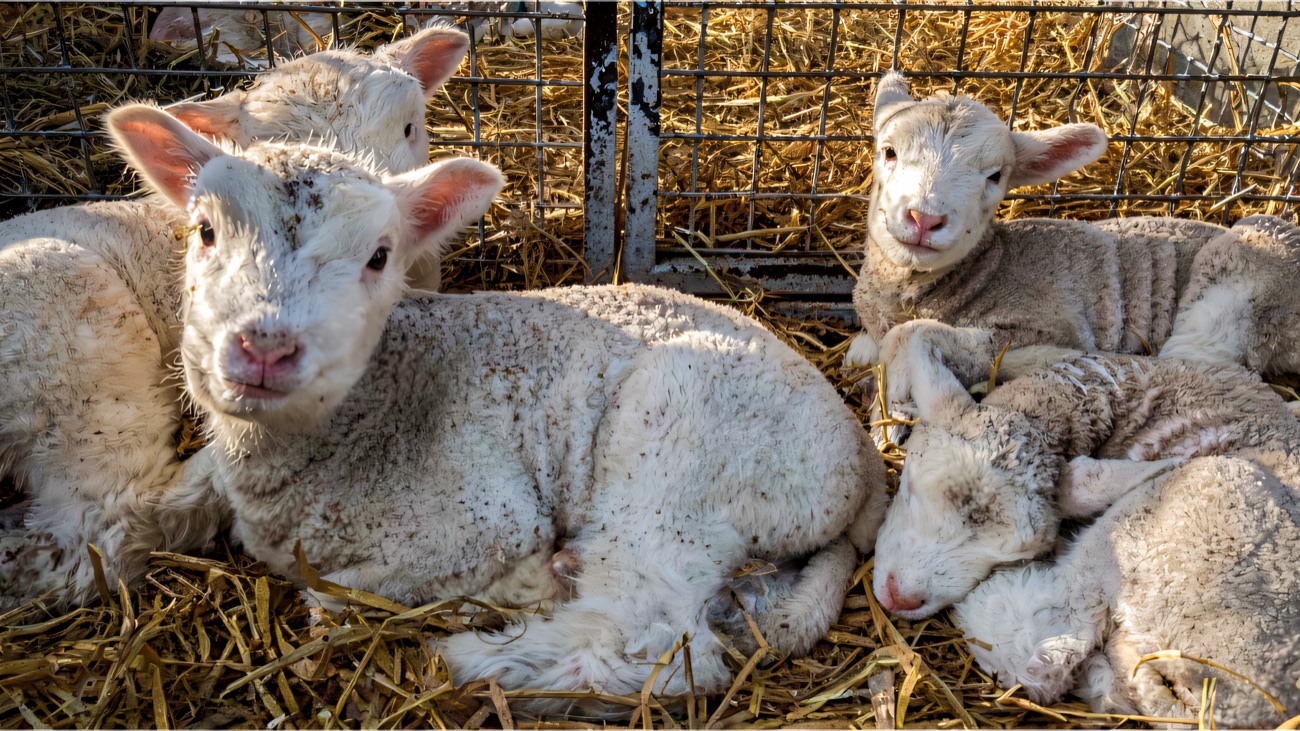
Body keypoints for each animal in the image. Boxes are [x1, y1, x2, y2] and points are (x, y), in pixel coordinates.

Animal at [105, 103, 889, 715]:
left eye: (380, 257)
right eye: (204, 231)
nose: (264, 346)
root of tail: (859, 457)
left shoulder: (481, 519)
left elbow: (340, 592)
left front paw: (516, 586)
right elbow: (158, 510)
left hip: (680, 451)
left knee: (649, 638)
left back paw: (482, 658)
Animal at [842, 70, 1295, 410]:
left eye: (996, 176)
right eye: (888, 151)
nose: (925, 218)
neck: (983, 271)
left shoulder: (1047, 329)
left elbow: (914, 334)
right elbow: (865, 349)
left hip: (1242, 285)